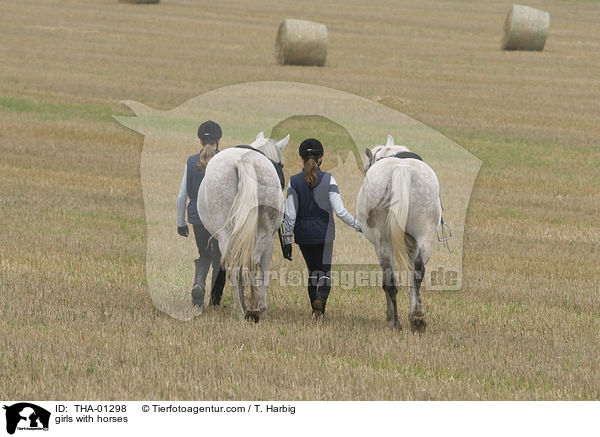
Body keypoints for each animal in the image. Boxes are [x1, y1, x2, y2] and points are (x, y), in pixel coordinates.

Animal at [198, 131, 290, 322]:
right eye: (281, 164)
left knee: (237, 266)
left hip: (228, 235)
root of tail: (243, 161)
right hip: (260, 234)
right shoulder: (268, 240)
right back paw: (250, 308)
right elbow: (261, 272)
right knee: (249, 264)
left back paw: (243, 309)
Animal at [356, 133, 440, 330]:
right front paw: (413, 311)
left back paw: (395, 321)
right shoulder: (413, 245)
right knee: (418, 271)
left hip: (383, 241)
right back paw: (418, 318)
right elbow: (412, 278)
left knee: (390, 280)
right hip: (425, 236)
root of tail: (402, 169)